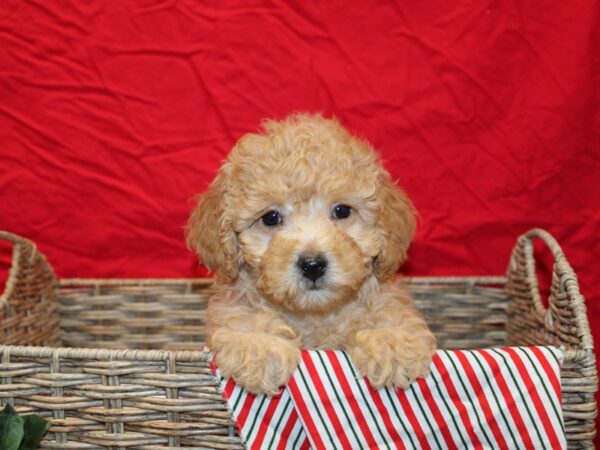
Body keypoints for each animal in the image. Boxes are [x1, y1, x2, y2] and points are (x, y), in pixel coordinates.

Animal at [188, 114, 436, 396]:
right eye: (270, 218)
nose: (313, 265)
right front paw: (258, 344)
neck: (312, 314)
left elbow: (388, 310)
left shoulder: (384, 291)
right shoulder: (232, 299)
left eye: (342, 211)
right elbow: (240, 318)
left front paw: (391, 341)